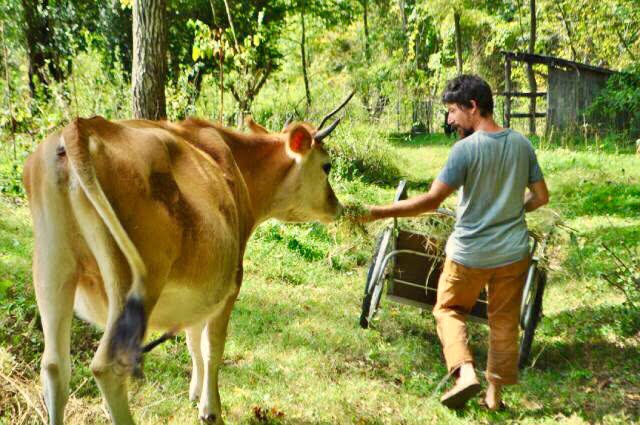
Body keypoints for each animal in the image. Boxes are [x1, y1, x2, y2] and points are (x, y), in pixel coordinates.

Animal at [22, 101, 350, 422]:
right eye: (327, 166)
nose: (338, 206)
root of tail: (81, 128)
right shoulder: (231, 284)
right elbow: (212, 346)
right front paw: (210, 408)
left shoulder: (202, 289)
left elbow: (193, 339)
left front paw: (195, 392)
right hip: (131, 280)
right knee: (108, 366)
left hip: (53, 268)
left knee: (54, 366)